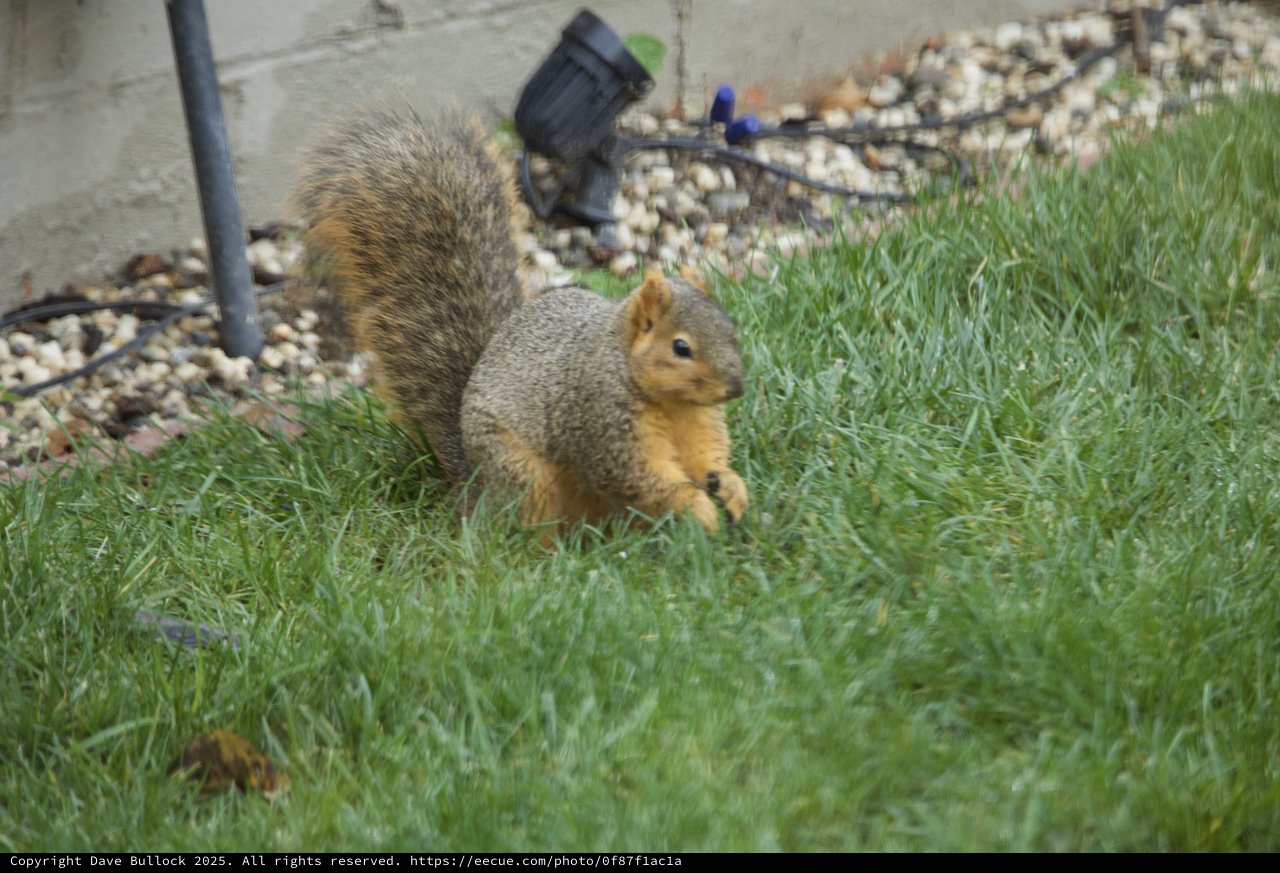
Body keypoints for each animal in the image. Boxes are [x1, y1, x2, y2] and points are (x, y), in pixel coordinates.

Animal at [296, 105, 749, 535]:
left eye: (731, 332)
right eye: (681, 347)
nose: (736, 388)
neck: (671, 401)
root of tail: (473, 487)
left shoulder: (698, 423)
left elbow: (705, 456)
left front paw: (730, 487)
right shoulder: (600, 421)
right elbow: (638, 477)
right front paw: (698, 507)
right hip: (523, 475)